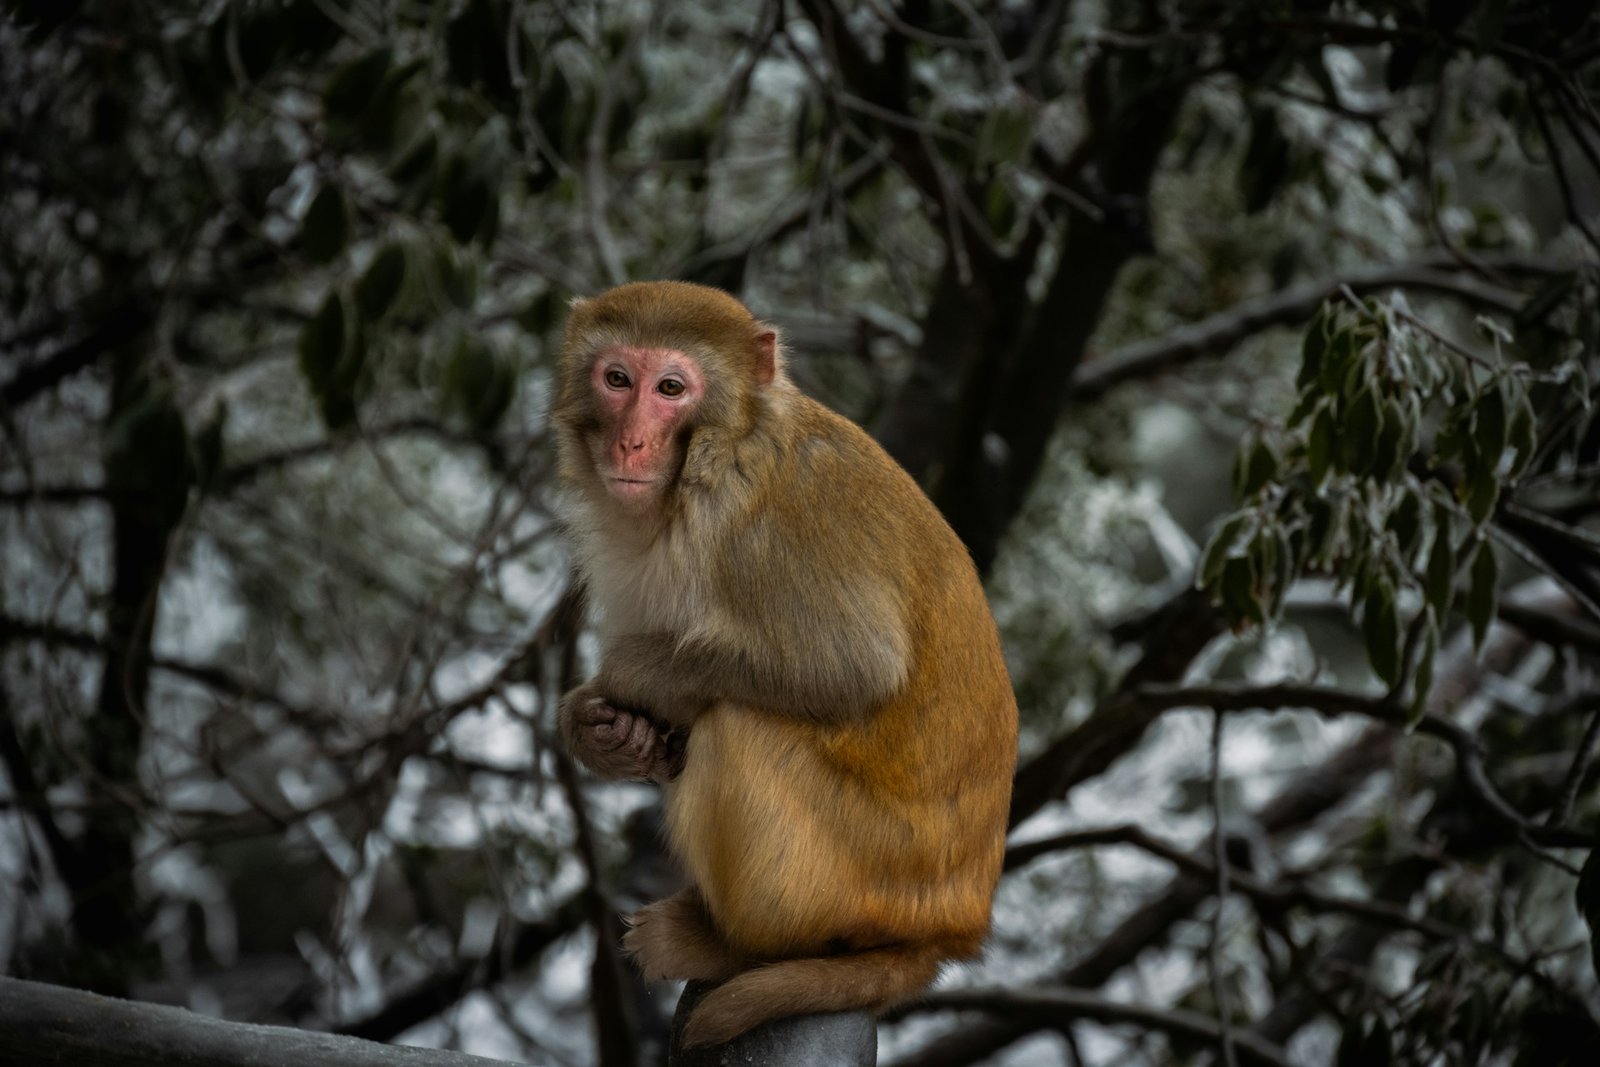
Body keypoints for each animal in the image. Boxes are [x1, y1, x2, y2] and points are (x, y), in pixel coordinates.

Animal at [550, 280, 1017, 1049]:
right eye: (617, 378)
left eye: (671, 388)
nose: (631, 440)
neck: (714, 456)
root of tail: (951, 927)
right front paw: (602, 730)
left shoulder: (761, 529)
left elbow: (854, 667)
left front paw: (629, 676)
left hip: (861, 878)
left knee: (738, 725)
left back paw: (737, 945)